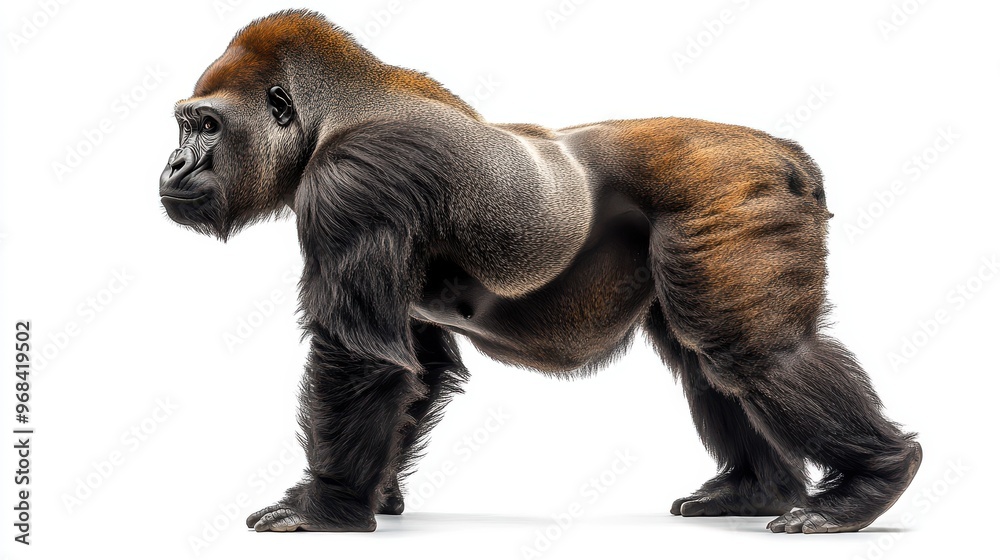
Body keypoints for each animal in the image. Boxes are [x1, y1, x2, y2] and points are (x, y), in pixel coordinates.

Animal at [158, 10, 921, 534]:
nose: (173, 166)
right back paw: (758, 489)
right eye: (184, 126)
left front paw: (325, 506)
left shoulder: (356, 183)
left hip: (733, 191)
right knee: (710, 360)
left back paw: (870, 484)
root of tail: (787, 154)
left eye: (206, 126)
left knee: (756, 353)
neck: (333, 112)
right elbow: (416, 365)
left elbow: (362, 356)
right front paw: (373, 493)